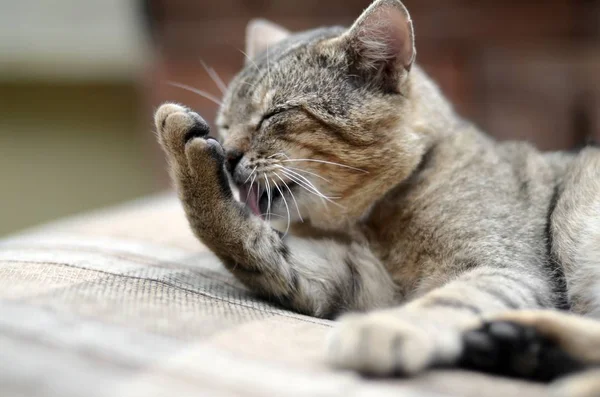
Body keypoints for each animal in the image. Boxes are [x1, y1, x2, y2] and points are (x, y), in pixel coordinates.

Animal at [152, 0, 600, 392]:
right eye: (226, 124)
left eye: (275, 114)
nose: (228, 156)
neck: (374, 220)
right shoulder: (358, 281)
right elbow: (237, 239)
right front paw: (185, 154)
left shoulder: (505, 268)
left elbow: (445, 301)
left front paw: (387, 328)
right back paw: (521, 346)